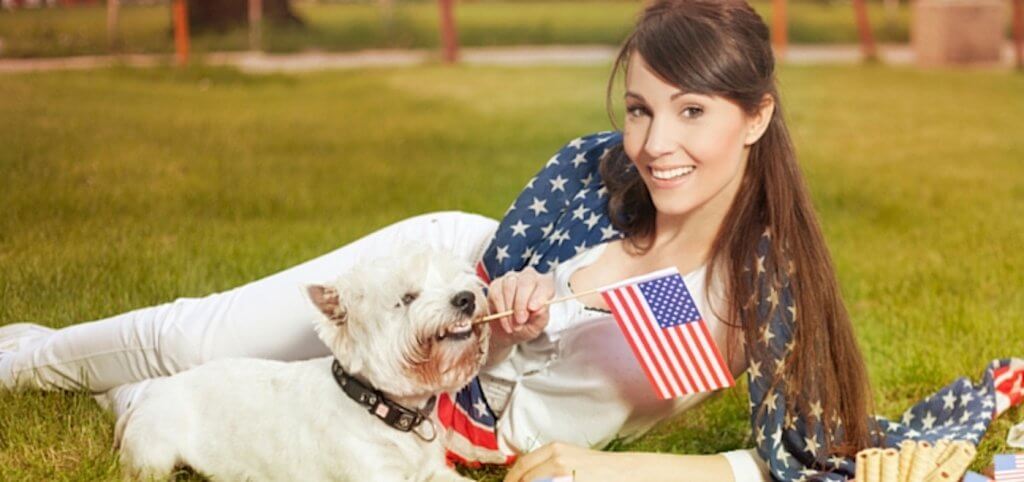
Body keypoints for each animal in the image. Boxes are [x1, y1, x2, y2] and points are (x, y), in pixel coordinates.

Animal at [114, 248, 489, 482]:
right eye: (407, 298)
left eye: (456, 281)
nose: (466, 298)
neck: (378, 406)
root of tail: (142, 402)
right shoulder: (374, 472)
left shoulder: (433, 471)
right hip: (156, 453)